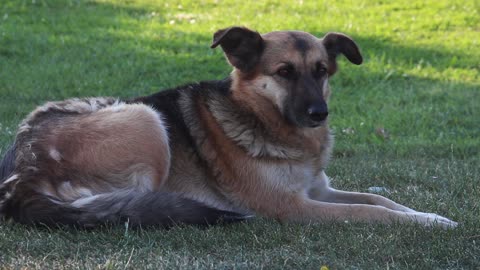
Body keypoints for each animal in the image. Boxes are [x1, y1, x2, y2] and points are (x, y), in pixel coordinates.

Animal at [0, 26, 458, 228]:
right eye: (285, 72)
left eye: (321, 70)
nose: (319, 114)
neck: (261, 118)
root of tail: (22, 174)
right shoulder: (293, 206)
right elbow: (369, 211)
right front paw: (427, 223)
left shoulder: (318, 190)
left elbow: (381, 200)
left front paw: (430, 215)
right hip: (145, 119)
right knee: (122, 207)